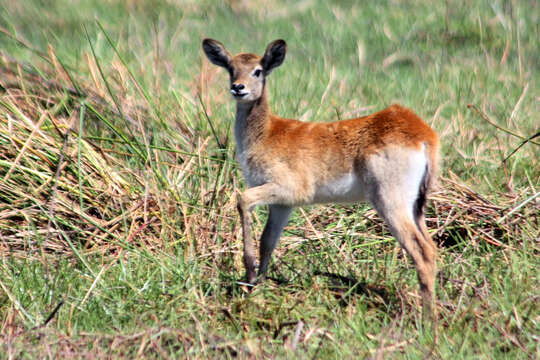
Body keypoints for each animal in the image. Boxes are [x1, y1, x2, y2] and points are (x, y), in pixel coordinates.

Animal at [201, 38, 438, 320]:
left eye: (258, 70)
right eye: (231, 68)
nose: (238, 88)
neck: (266, 134)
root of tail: (422, 134)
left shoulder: (287, 190)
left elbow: (243, 200)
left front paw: (249, 276)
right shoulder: (283, 205)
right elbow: (267, 241)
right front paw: (258, 286)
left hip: (391, 203)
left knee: (422, 252)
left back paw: (428, 322)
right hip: (416, 207)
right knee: (432, 248)